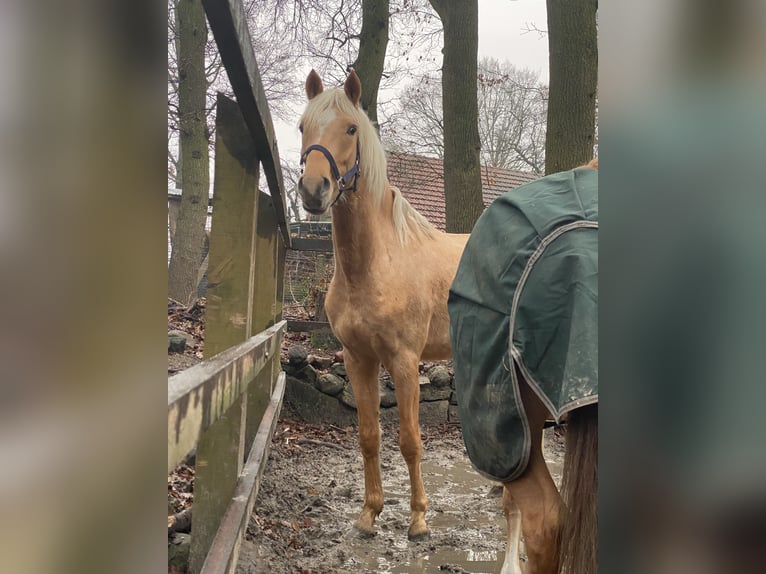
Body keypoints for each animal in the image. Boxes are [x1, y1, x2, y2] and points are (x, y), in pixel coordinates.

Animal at [298, 70, 468, 544]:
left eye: (351, 129)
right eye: (302, 127)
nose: (314, 191)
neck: (376, 265)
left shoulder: (405, 362)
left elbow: (410, 440)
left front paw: (419, 520)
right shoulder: (358, 359)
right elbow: (370, 435)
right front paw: (369, 514)